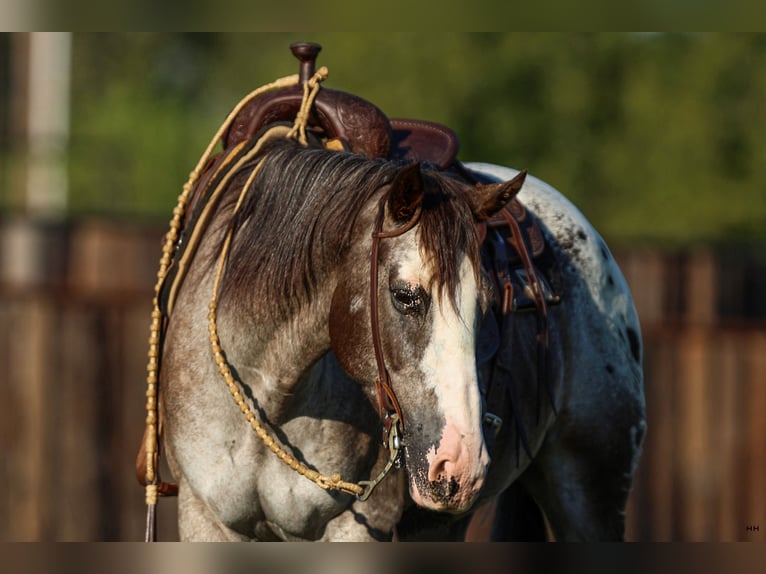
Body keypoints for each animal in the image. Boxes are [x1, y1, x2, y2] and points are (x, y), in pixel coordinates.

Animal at [156, 129, 648, 540]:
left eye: (487, 304)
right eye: (405, 295)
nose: (461, 460)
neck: (270, 396)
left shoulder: (355, 527)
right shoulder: (205, 518)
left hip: (592, 492)